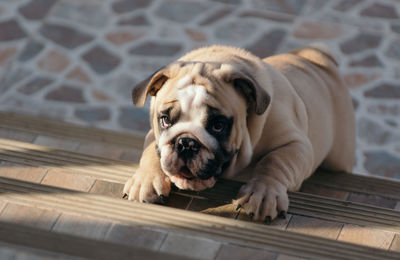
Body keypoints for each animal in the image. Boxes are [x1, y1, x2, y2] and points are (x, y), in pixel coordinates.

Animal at [123, 44, 354, 221]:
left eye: (218, 125)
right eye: (165, 120)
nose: (186, 143)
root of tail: (315, 56)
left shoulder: (295, 144)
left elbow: (275, 162)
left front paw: (263, 194)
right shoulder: (153, 136)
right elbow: (151, 152)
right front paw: (146, 180)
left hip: (339, 156)